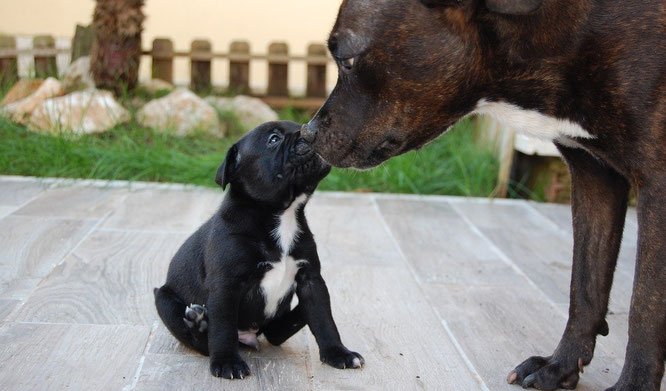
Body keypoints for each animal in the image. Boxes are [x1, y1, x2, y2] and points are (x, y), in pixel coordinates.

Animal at [154, 121, 364, 380]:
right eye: (273, 139)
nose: (308, 131)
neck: (281, 214)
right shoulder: (226, 286)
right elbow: (222, 329)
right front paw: (227, 362)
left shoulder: (311, 280)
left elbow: (324, 319)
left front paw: (338, 353)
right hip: (163, 299)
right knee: (200, 341)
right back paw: (198, 323)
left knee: (278, 331)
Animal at [300, 0, 664, 391]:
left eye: (347, 60)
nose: (307, 133)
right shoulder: (594, 176)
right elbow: (585, 287)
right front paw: (559, 365)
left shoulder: (656, 187)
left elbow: (646, 308)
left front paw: (634, 385)